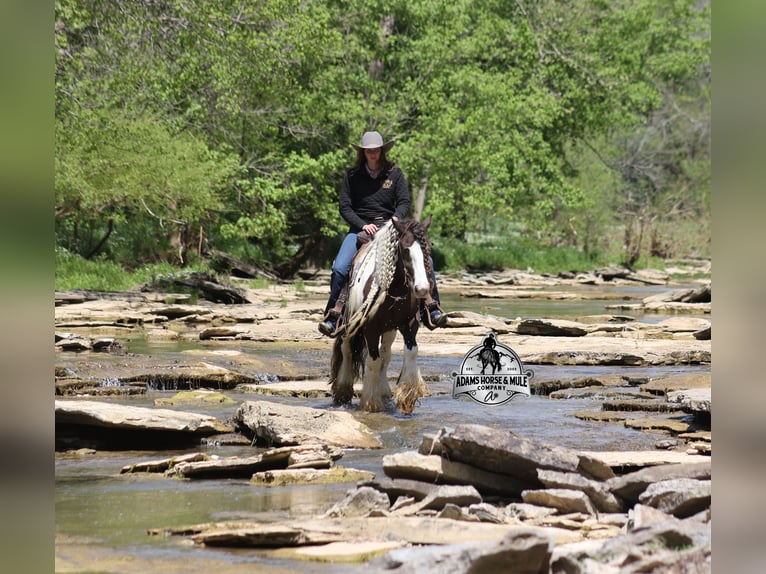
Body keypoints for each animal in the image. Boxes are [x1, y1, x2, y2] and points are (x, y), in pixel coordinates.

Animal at [329, 216, 434, 414]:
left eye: (427, 249)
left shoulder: (409, 324)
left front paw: (407, 396)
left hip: (389, 329)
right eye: (405, 249)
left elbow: (410, 352)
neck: (395, 288)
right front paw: (371, 402)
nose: (422, 289)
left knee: (386, 353)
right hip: (348, 322)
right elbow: (373, 361)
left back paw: (384, 391)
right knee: (347, 350)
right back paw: (343, 391)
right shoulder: (370, 327)